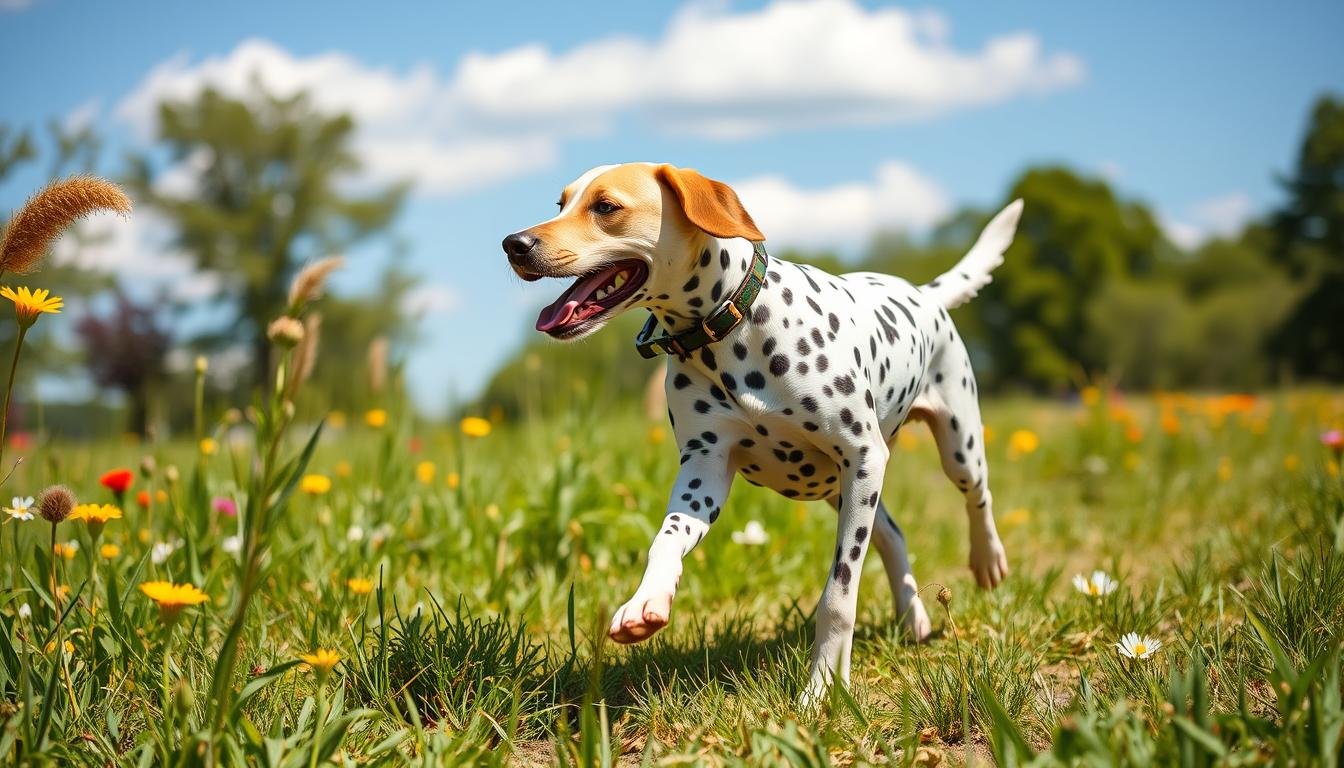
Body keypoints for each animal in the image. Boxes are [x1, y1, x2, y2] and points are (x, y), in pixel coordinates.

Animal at [502, 164, 1016, 704]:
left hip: (950, 449)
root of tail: (925, 293)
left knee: (977, 496)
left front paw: (822, 687)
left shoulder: (862, 455)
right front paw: (647, 601)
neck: (731, 328)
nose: (514, 243)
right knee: (892, 535)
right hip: (840, 486)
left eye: (605, 206)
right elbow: (667, 538)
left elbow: (839, 593)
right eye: (560, 204)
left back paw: (987, 559)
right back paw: (913, 615)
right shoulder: (704, 472)